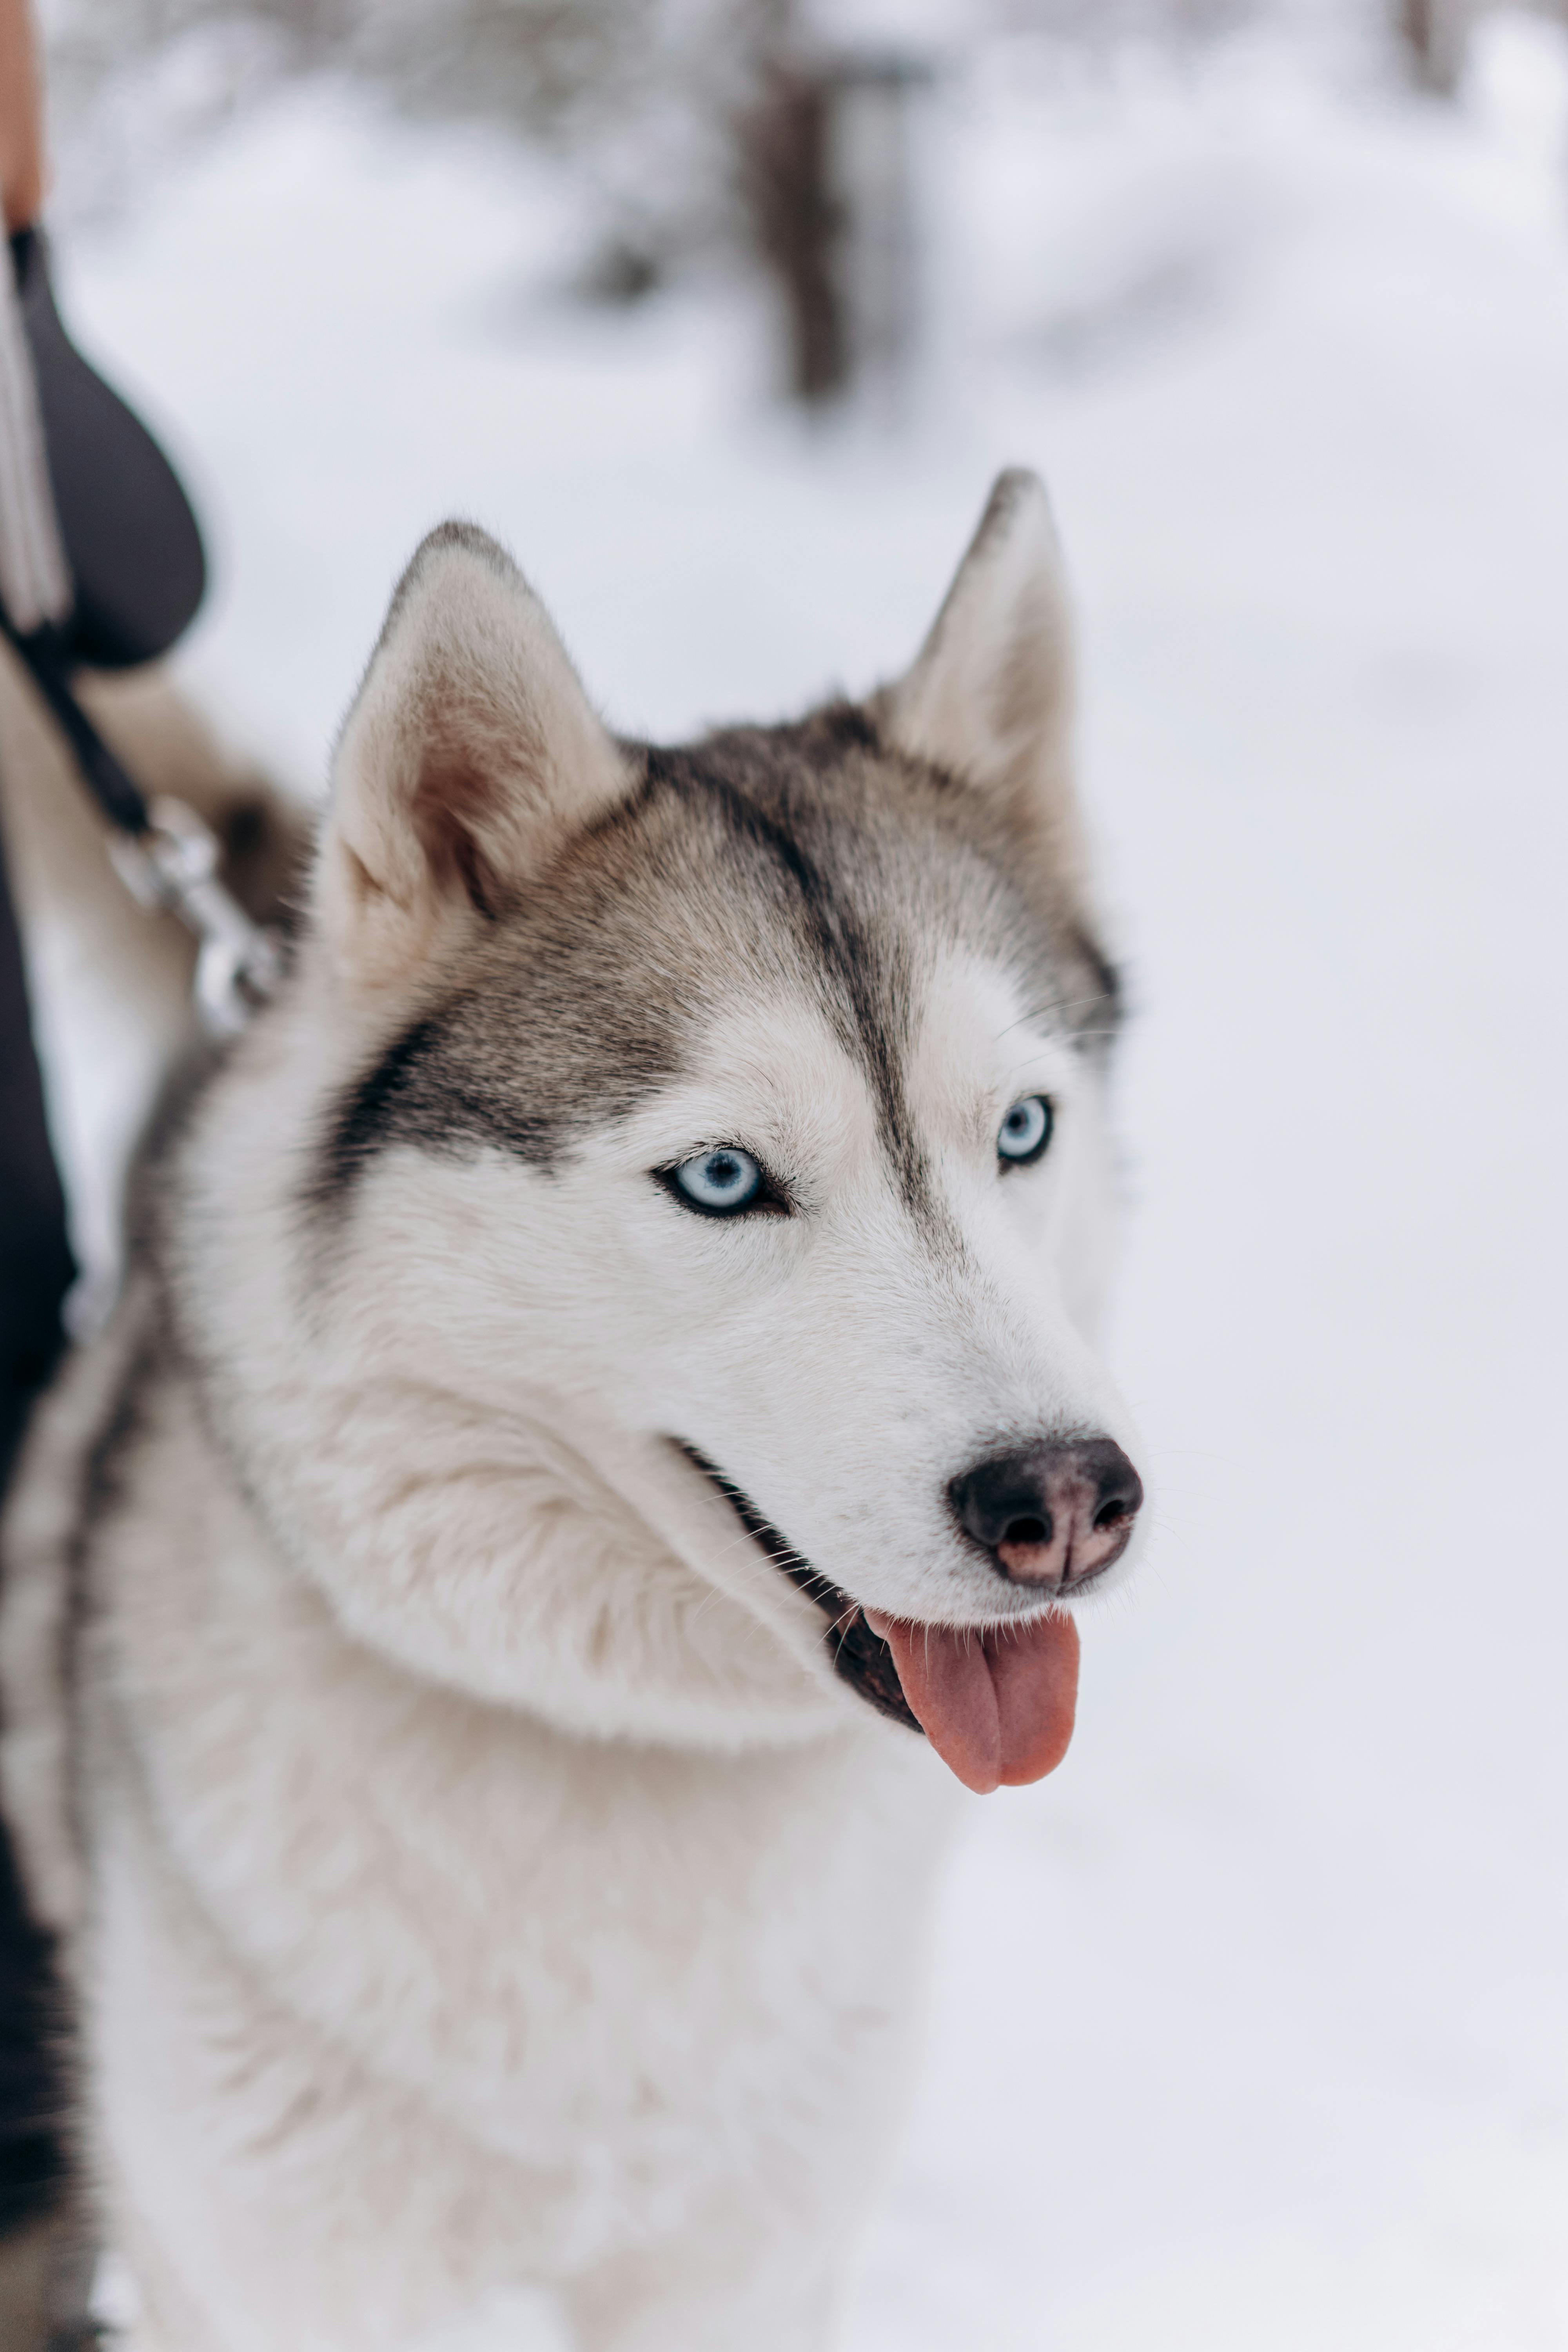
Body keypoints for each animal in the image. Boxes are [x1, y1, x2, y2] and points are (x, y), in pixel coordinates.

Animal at [3, 473, 1152, 2352]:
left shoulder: (750, 2274)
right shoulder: (276, 2276)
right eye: (722, 1177)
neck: (613, 1746)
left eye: (1021, 1130)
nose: (1063, 1501)